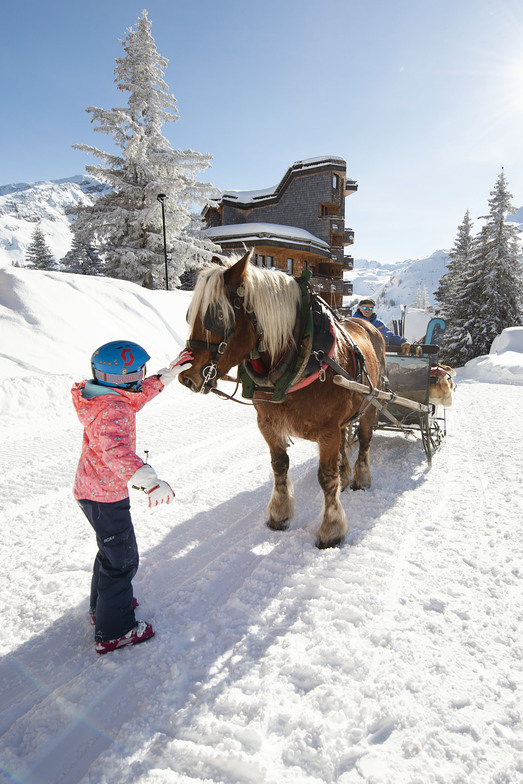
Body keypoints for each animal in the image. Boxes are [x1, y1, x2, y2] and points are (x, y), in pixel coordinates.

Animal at [182, 254, 386, 548]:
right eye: (190, 314)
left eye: (217, 316)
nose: (186, 377)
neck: (304, 354)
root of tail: (368, 326)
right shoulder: (267, 423)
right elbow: (279, 466)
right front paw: (279, 515)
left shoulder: (327, 430)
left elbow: (326, 477)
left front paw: (331, 529)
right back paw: (346, 475)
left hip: (371, 404)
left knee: (365, 440)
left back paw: (360, 478)